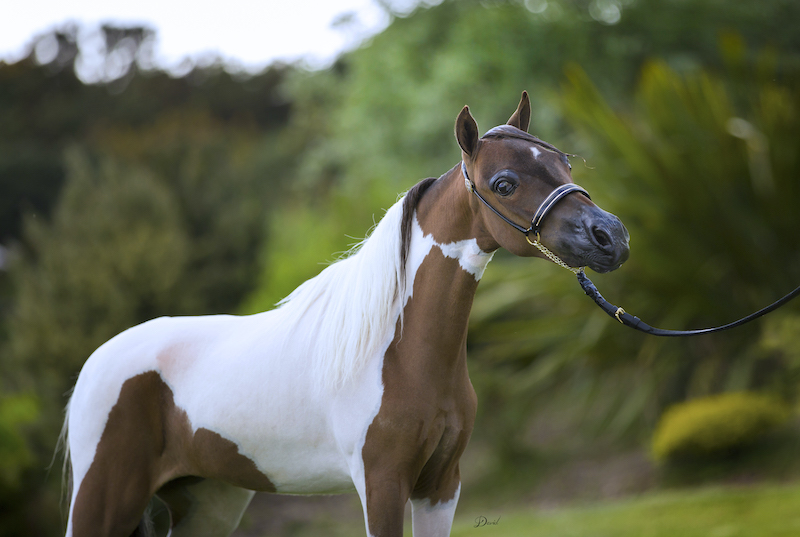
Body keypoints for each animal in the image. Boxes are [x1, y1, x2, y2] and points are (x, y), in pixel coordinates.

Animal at [60, 92, 630, 537]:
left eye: (566, 166)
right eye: (505, 183)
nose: (611, 237)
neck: (398, 355)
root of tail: (98, 361)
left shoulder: (441, 487)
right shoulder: (382, 485)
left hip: (208, 502)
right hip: (102, 499)